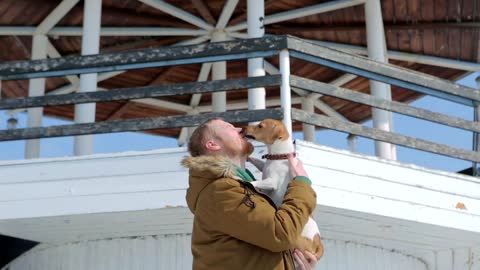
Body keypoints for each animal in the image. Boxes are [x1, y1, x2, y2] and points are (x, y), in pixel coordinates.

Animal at [244, 119, 326, 260]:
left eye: (260, 126)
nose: (243, 128)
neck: (279, 156)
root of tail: (318, 242)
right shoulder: (263, 167)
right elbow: (257, 162)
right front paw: (248, 157)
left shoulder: (272, 182)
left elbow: (255, 182)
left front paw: (246, 182)